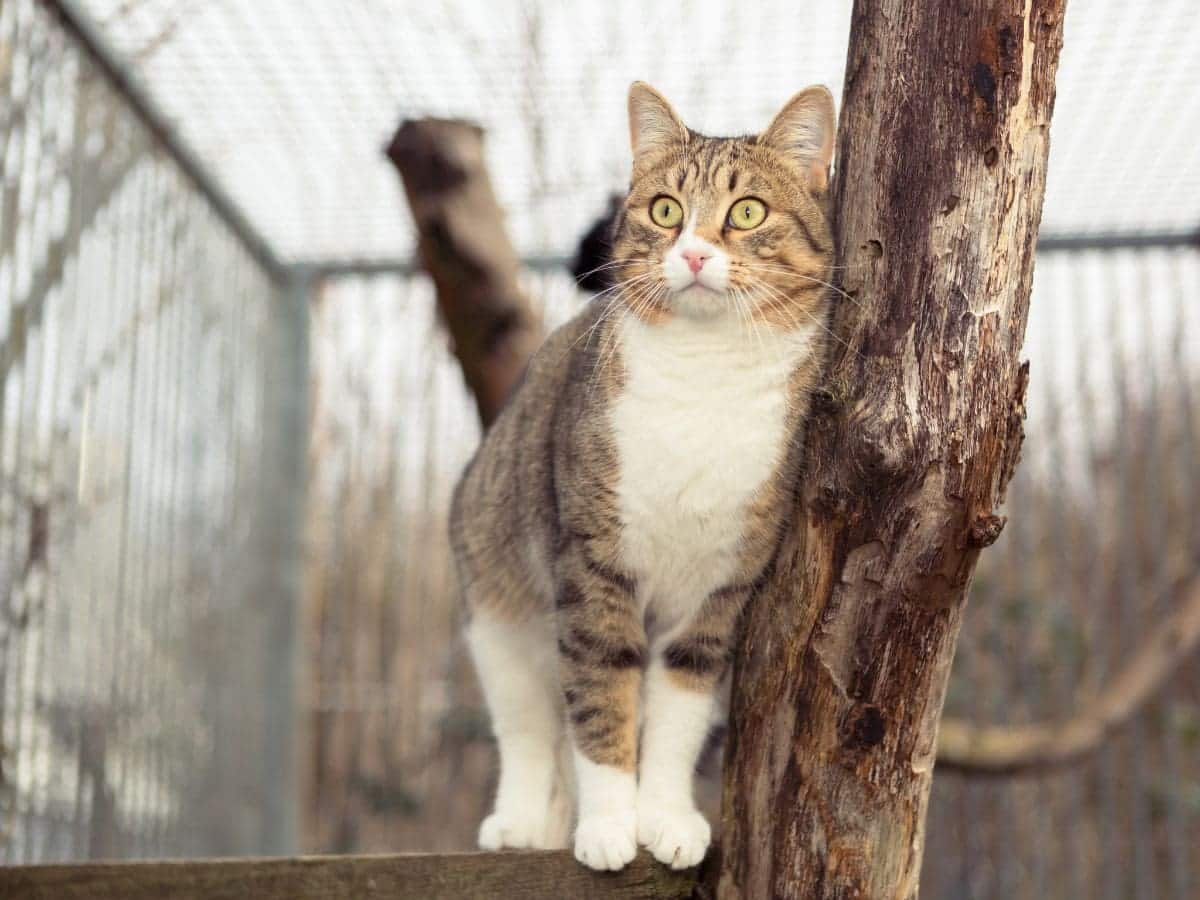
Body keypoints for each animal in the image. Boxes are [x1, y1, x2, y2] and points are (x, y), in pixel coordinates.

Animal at [451, 84, 835, 873]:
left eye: (746, 211)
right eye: (664, 209)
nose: (691, 252)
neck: (704, 376)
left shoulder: (719, 588)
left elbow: (678, 710)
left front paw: (664, 818)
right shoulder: (593, 564)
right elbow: (601, 698)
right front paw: (607, 828)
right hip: (497, 602)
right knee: (529, 724)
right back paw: (524, 822)